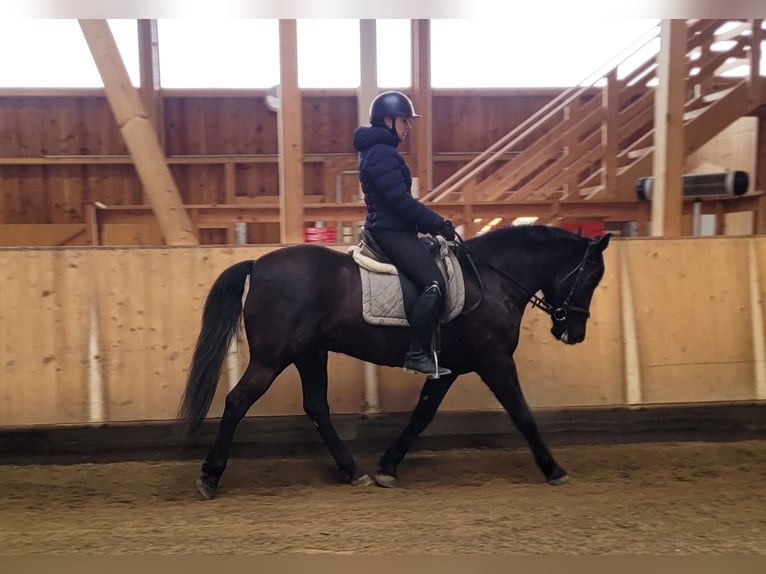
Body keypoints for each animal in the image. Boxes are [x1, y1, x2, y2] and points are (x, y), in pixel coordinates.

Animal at [178, 224, 611, 499]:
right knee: (237, 402)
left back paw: (355, 472)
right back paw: (209, 476)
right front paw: (554, 469)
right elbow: (523, 414)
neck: (492, 279)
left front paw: (388, 466)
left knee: (316, 407)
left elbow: (422, 415)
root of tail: (258, 264)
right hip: (273, 358)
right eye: (591, 278)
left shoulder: (448, 369)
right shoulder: (495, 361)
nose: (573, 333)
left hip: (310, 354)